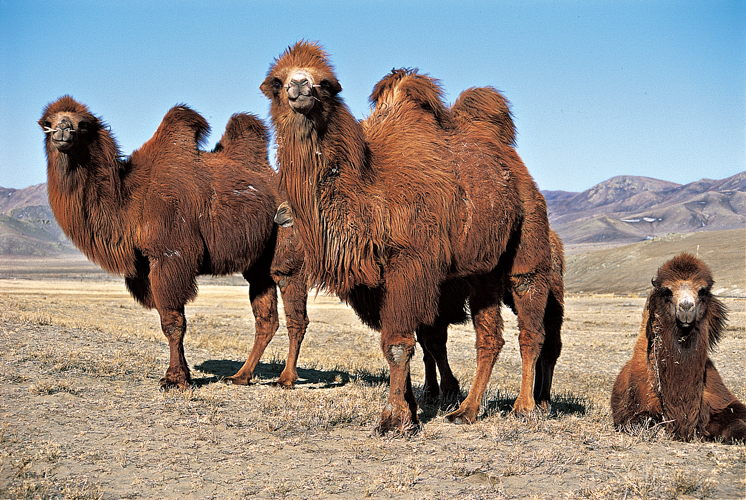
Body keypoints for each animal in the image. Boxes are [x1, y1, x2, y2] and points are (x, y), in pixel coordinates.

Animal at [40, 94, 308, 390]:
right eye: (47, 123)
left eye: (84, 124)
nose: (63, 130)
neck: (131, 198)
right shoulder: (146, 267)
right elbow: (170, 319)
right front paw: (184, 375)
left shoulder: (170, 255)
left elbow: (172, 322)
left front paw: (174, 378)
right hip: (257, 265)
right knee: (266, 319)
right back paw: (240, 376)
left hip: (289, 242)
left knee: (294, 309)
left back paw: (286, 379)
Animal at [260, 43, 552, 434]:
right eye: (278, 81)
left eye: (326, 83)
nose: (300, 87)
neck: (368, 192)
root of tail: (513, 164)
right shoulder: (376, 285)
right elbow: (401, 342)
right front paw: (412, 410)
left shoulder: (410, 263)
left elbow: (398, 344)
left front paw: (395, 421)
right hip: (483, 272)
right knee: (489, 338)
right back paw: (466, 411)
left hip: (528, 238)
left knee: (530, 325)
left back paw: (525, 407)